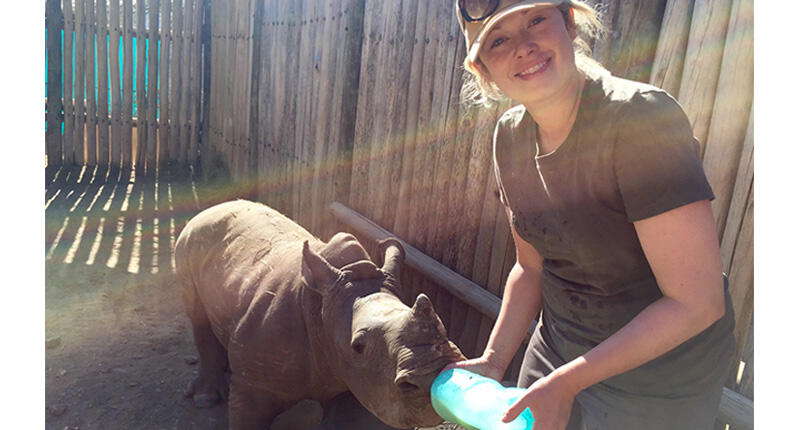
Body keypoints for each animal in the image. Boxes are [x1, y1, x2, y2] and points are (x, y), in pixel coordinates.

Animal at [174, 200, 465, 429]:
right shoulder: (253, 387)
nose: (432, 377)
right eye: (358, 346)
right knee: (197, 317)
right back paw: (204, 399)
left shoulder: (362, 382)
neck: (325, 312)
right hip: (188, 241)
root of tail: (214, 207)